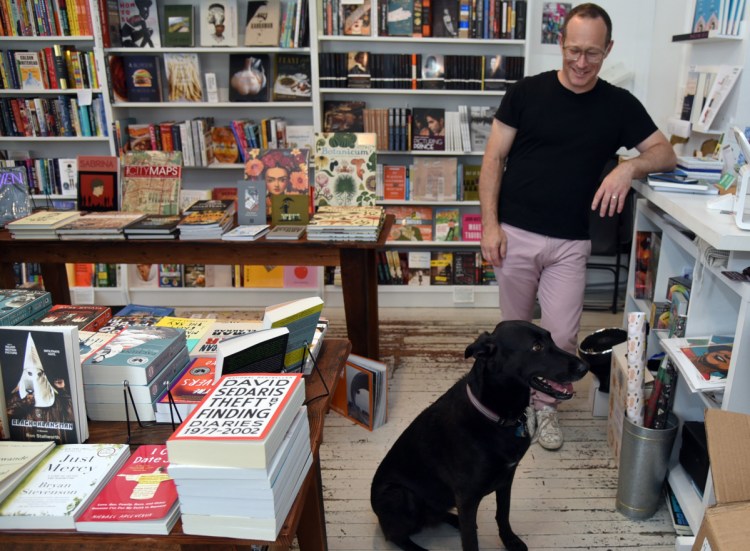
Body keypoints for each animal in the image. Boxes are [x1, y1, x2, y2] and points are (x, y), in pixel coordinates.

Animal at [374, 322, 592, 551]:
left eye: (551, 339)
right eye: (536, 347)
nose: (585, 367)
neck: (496, 415)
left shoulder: (507, 478)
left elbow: (503, 514)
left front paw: (509, 540)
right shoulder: (467, 497)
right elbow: (470, 539)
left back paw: (453, 520)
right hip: (398, 494)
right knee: (395, 536)